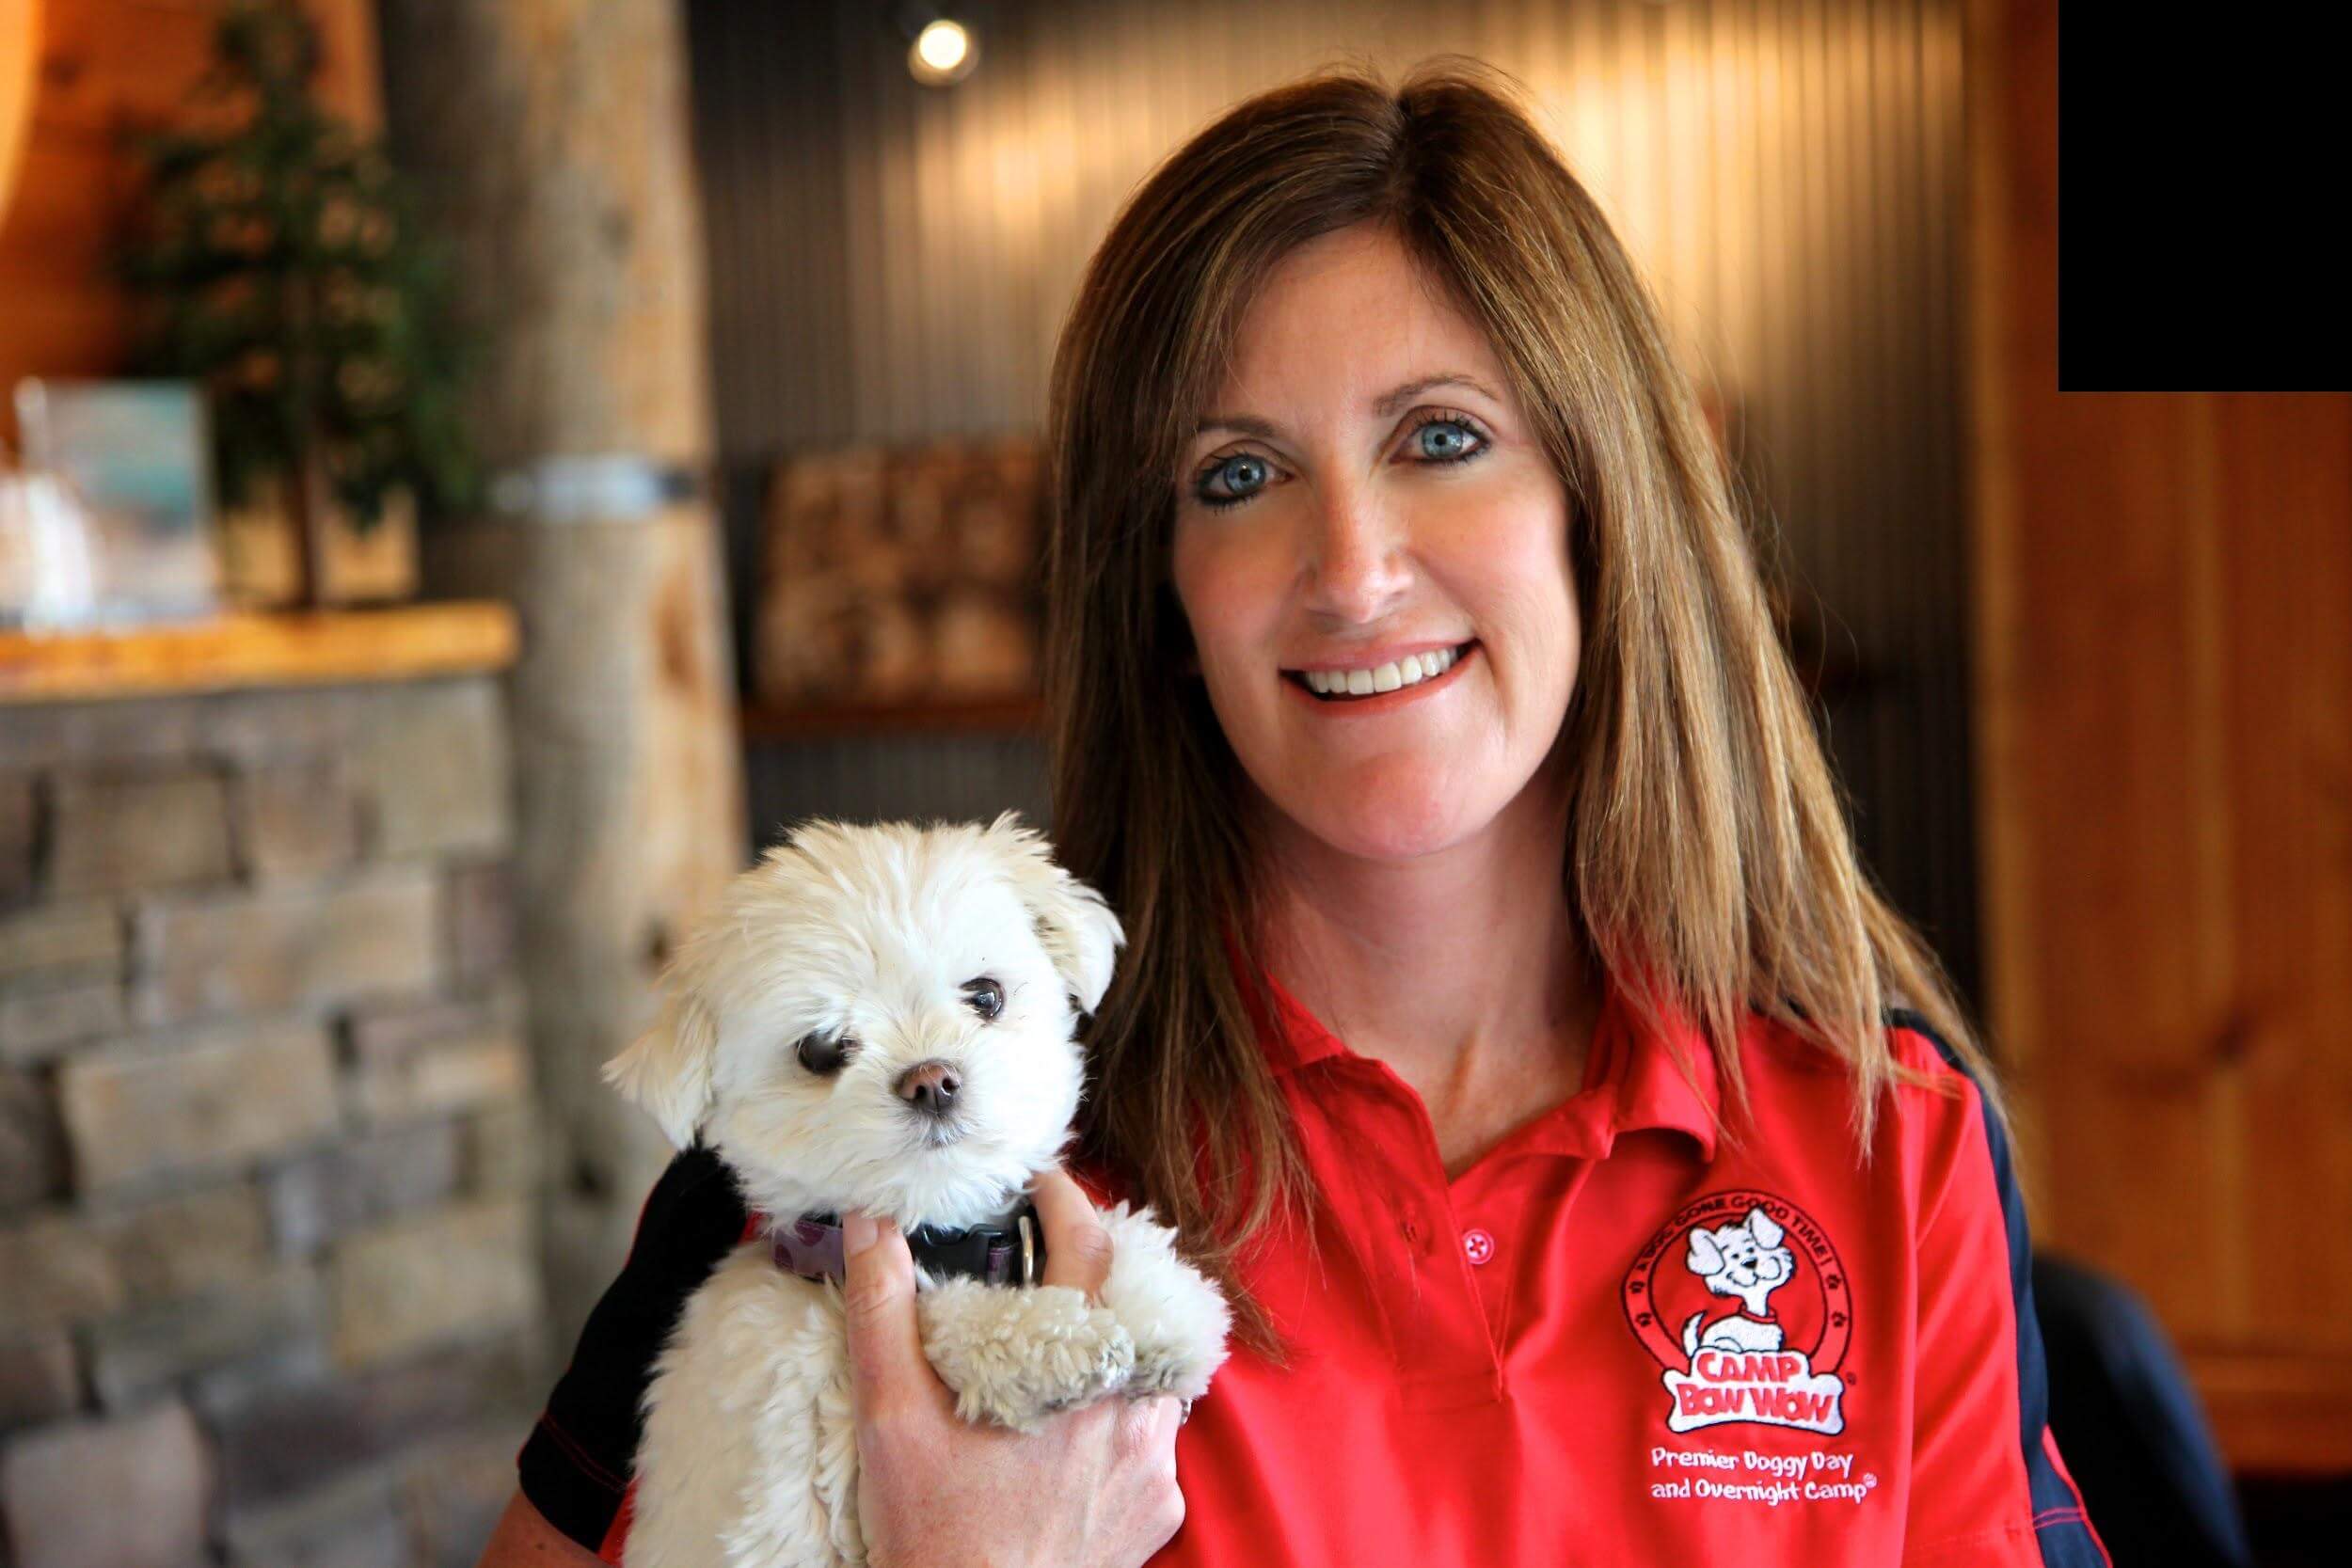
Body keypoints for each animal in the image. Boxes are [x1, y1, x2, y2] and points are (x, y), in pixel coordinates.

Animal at [602, 817, 1232, 1568]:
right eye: (820, 1050)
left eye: (985, 995)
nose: (932, 1080)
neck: (938, 1232)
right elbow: (942, 1315)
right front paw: (1052, 1344)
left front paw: (1166, 1309)